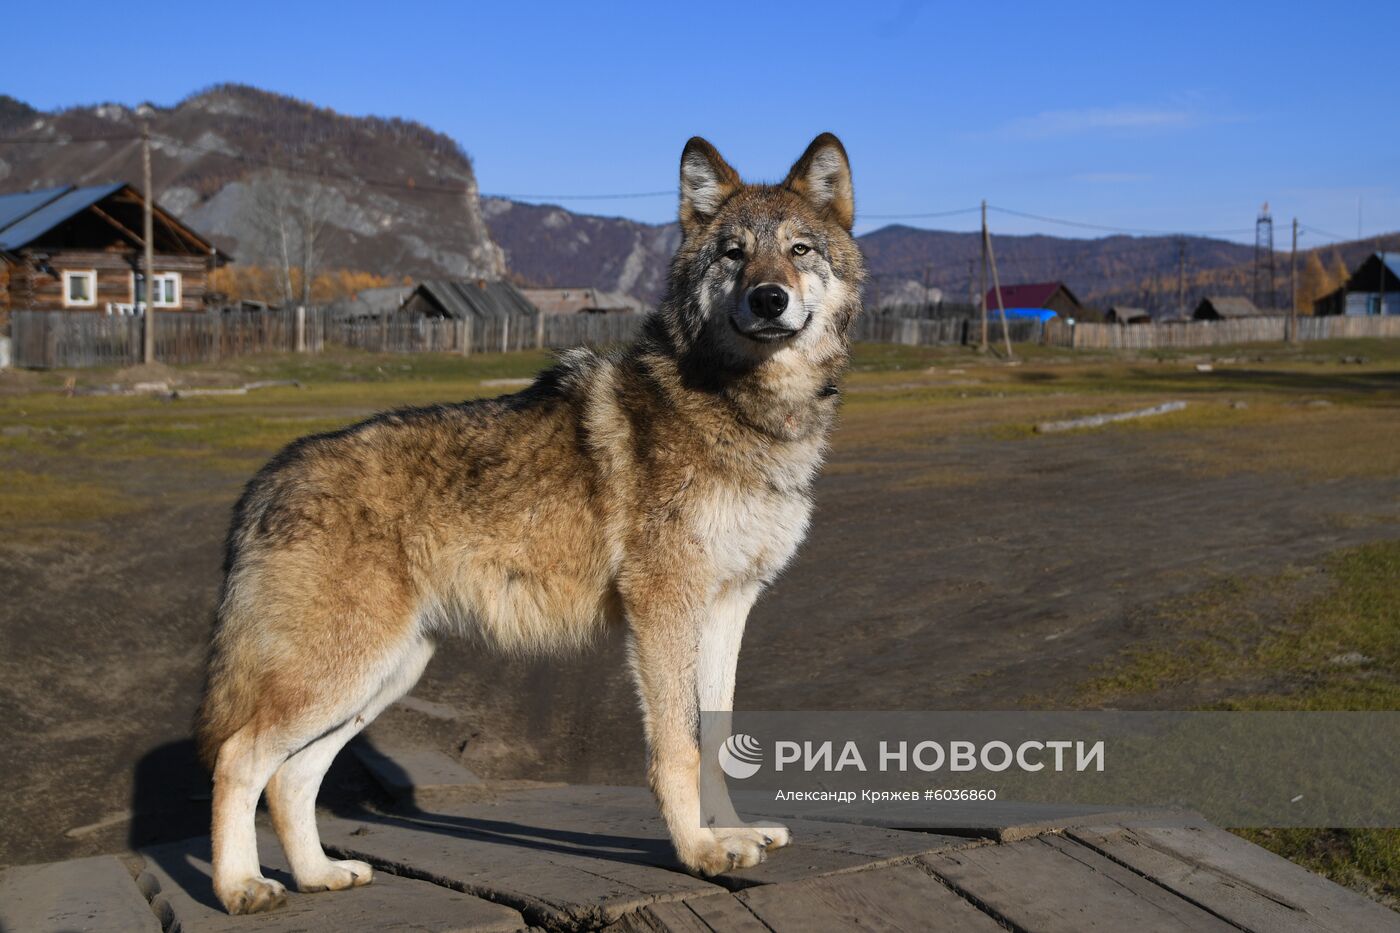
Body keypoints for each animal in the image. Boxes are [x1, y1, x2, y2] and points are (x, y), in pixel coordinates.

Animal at [197, 130, 862, 907]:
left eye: (799, 249)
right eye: (733, 253)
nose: (768, 298)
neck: (743, 410)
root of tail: (266, 477)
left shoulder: (729, 607)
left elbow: (718, 742)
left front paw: (733, 834)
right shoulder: (663, 607)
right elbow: (677, 745)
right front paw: (699, 851)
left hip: (385, 674)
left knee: (291, 777)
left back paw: (321, 875)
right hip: (340, 673)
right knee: (239, 757)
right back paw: (242, 887)